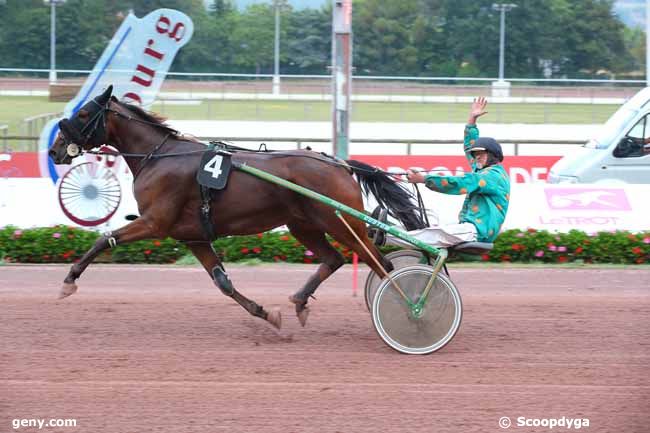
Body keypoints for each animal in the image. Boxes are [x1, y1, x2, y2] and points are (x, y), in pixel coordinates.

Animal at [50, 86, 426, 330]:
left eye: (83, 113)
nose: (55, 149)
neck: (159, 156)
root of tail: (338, 164)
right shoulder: (193, 236)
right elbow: (223, 283)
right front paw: (266, 314)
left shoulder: (155, 222)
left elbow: (105, 238)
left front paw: (68, 281)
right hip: (303, 225)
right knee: (334, 259)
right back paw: (300, 302)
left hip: (341, 222)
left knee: (381, 264)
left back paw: (409, 307)